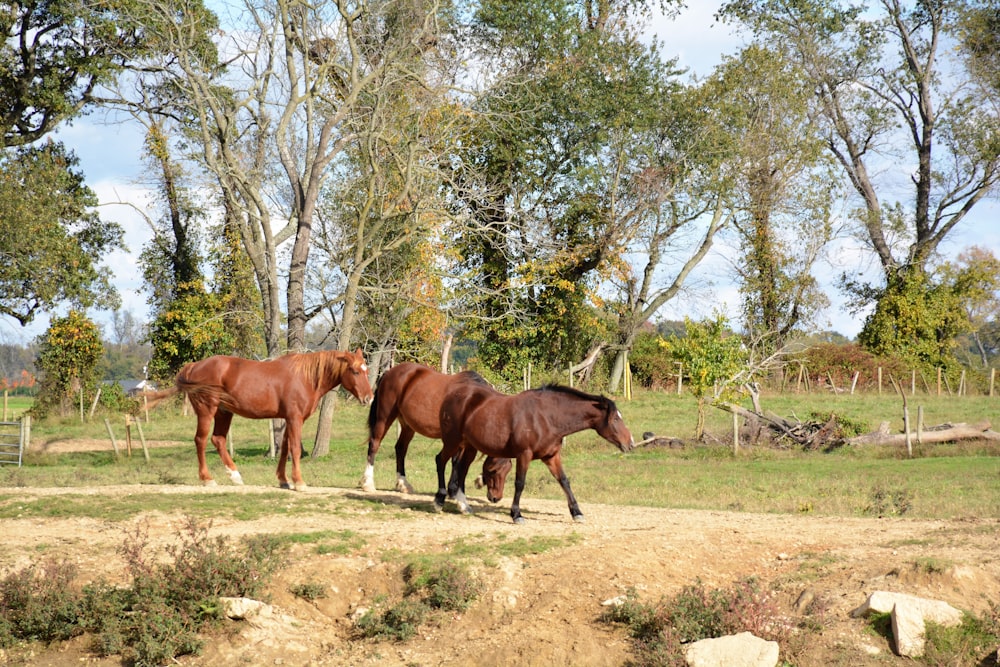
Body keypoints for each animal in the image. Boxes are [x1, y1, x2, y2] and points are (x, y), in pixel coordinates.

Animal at [143, 350, 374, 490]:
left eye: (366, 370)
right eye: (355, 371)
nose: (369, 398)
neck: (306, 377)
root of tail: (194, 366)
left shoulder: (288, 419)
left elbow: (285, 448)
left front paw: (283, 480)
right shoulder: (295, 419)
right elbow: (294, 449)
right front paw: (299, 482)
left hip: (224, 413)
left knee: (218, 440)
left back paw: (235, 476)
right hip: (207, 411)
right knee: (200, 440)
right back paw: (207, 479)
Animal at [364, 362, 512, 498]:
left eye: (508, 470)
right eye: (494, 470)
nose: (496, 497)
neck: (473, 403)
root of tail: (390, 372)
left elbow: (460, 464)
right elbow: (456, 462)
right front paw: (453, 490)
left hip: (407, 425)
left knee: (400, 448)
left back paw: (403, 484)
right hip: (384, 417)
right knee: (374, 444)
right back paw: (368, 483)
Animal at [436, 376, 632, 520]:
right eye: (615, 419)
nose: (630, 443)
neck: (547, 417)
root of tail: (453, 395)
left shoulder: (552, 456)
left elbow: (564, 481)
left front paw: (576, 512)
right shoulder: (524, 454)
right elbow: (520, 483)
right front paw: (516, 514)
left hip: (469, 446)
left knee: (460, 467)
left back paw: (462, 504)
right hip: (452, 441)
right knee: (441, 460)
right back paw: (439, 500)